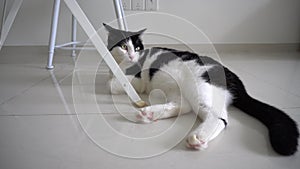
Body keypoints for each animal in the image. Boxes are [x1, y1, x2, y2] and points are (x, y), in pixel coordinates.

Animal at [102, 23, 298, 156]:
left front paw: (113, 80)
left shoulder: (135, 81)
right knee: (182, 106)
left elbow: (112, 84)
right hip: (177, 89)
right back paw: (149, 114)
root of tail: (233, 76)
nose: (131, 55)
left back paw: (198, 137)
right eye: (124, 46)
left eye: (136, 47)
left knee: (219, 117)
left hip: (198, 85)